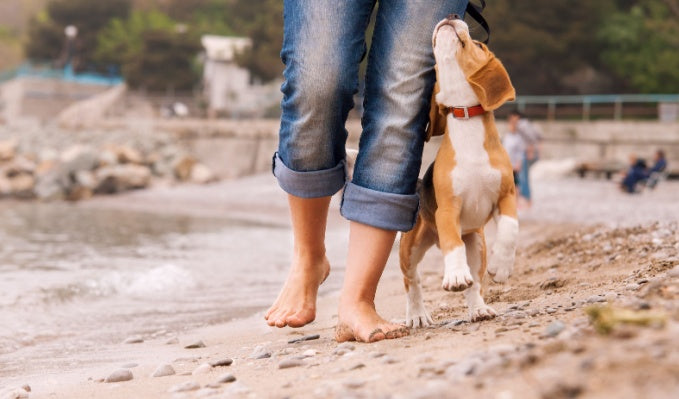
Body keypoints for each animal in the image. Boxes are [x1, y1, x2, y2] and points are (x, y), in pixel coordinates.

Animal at [402, 15, 516, 328]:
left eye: (477, 43)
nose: (452, 15)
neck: (466, 117)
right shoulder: (448, 209)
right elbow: (452, 244)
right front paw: (454, 275)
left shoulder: (506, 196)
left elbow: (510, 228)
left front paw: (503, 267)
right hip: (410, 247)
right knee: (411, 280)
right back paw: (416, 314)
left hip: (477, 243)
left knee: (475, 283)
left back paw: (478, 308)